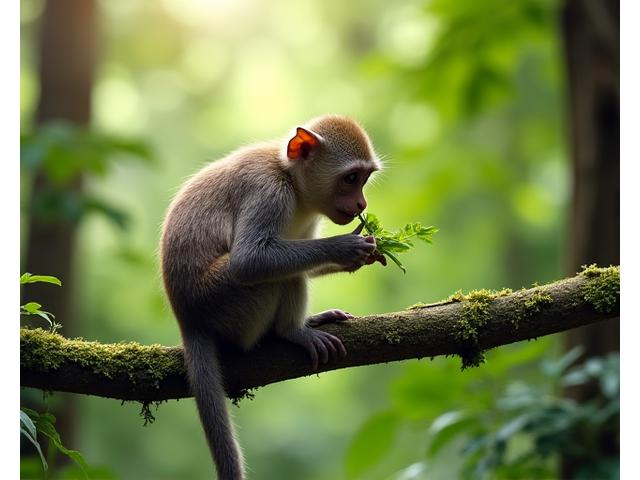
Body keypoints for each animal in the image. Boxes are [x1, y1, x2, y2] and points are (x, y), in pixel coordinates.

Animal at [160, 114, 382, 479]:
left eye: (364, 179)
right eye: (351, 178)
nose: (362, 204)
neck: (290, 179)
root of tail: (187, 317)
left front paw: (365, 255)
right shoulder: (267, 193)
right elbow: (249, 261)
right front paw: (344, 246)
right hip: (225, 301)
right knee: (279, 277)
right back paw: (292, 332)